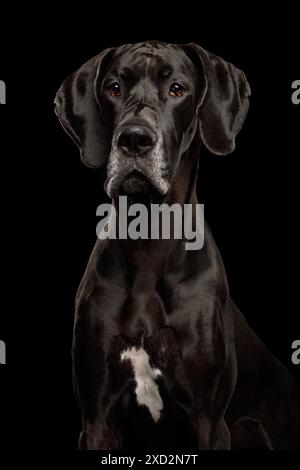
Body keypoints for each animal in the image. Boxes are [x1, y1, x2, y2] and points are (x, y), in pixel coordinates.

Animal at [54, 42, 300, 450]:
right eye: (113, 87)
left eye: (177, 89)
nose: (134, 139)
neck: (148, 241)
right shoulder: (97, 420)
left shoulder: (209, 421)